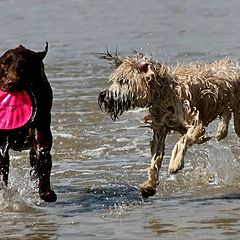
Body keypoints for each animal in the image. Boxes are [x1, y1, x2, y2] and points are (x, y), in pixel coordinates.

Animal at [0, 43, 56, 202]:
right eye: (4, 65)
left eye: (24, 66)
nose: (11, 83)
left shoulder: (40, 130)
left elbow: (42, 156)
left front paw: (46, 192)